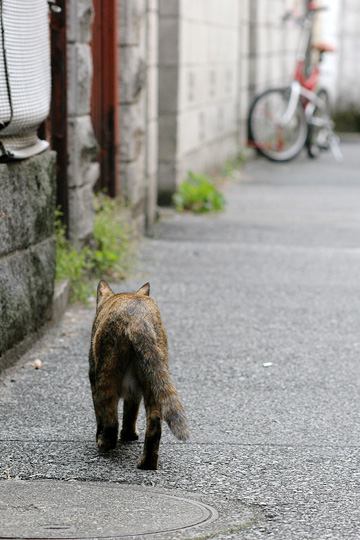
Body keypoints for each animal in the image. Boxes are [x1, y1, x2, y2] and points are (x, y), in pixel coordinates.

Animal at [88, 280, 188, 470]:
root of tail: (138, 319)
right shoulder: (134, 393)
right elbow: (131, 411)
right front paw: (129, 435)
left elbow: (102, 415)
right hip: (154, 375)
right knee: (154, 423)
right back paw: (146, 463)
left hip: (105, 372)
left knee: (110, 419)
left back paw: (103, 443)